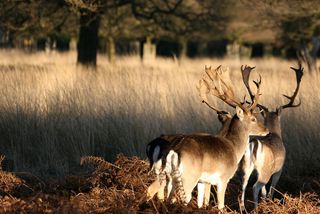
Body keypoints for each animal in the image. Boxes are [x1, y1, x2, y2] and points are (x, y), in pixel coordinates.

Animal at [149, 66, 268, 210]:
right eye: (253, 119)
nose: (266, 130)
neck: (234, 148)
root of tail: (174, 151)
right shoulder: (223, 179)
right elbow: (220, 205)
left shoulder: (203, 181)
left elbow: (201, 202)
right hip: (188, 176)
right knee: (181, 197)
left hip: (169, 175)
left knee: (164, 195)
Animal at [240, 64, 302, 210]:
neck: (275, 134)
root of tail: (254, 145)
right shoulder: (279, 170)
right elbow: (271, 190)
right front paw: (269, 203)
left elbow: (264, 192)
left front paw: (265, 202)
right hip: (265, 171)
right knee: (255, 187)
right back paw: (256, 209)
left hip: (246, 166)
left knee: (244, 185)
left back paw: (242, 208)